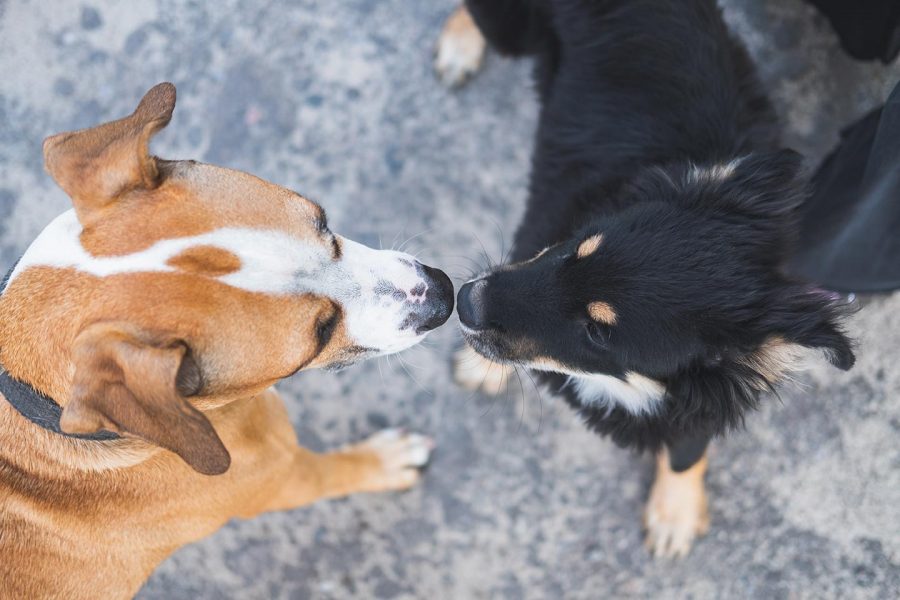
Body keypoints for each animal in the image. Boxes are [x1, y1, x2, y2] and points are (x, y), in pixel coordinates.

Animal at [0, 82, 454, 596]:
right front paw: (385, 461)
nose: (444, 293)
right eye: (319, 334)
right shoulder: (285, 477)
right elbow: (337, 471)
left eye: (324, 223)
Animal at [440, 0, 856, 556]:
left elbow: (684, 449)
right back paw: (460, 45)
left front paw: (674, 512)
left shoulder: (698, 396)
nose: (464, 300)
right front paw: (482, 367)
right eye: (577, 247)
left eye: (598, 332)